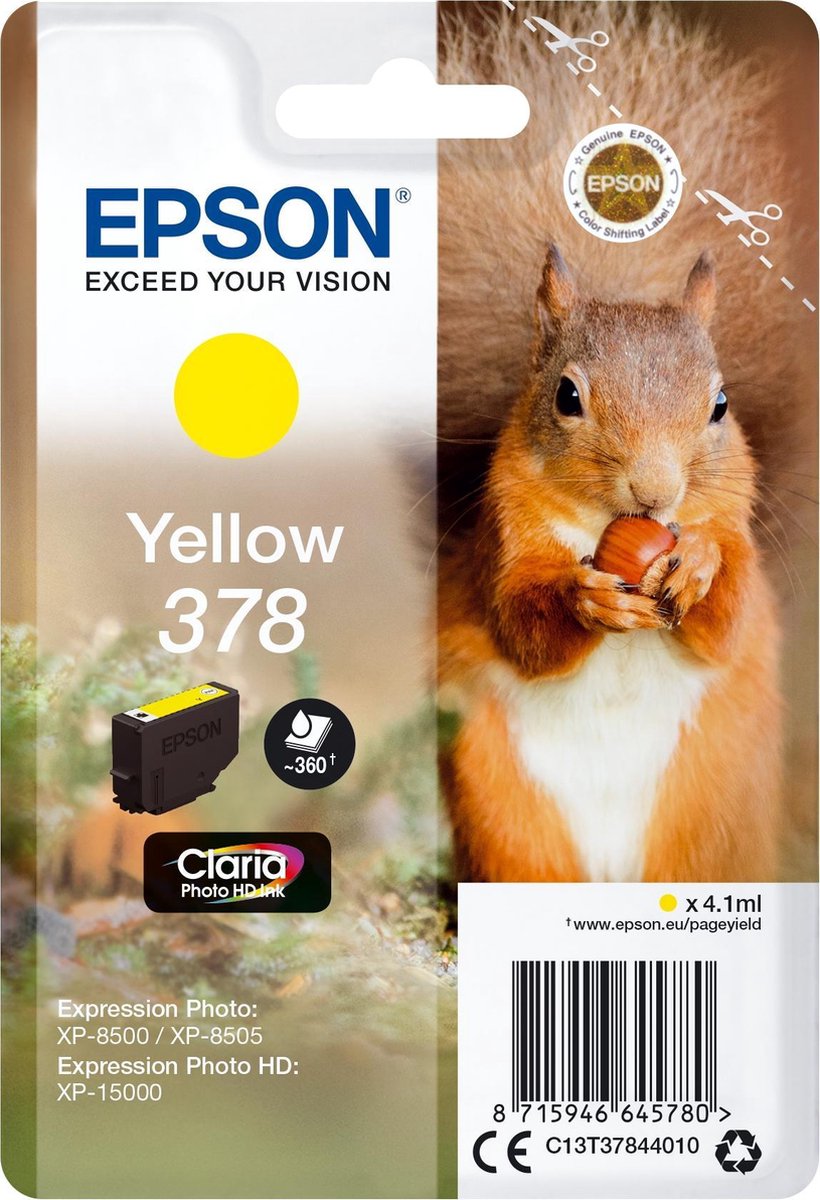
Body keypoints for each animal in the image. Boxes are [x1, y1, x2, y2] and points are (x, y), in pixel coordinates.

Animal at [436, 2, 812, 883]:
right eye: (567, 396)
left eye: (720, 404)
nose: (655, 492)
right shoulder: (504, 538)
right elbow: (521, 623)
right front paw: (587, 598)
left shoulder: (737, 530)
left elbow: (729, 617)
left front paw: (699, 564)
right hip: (503, 808)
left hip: (712, 811)